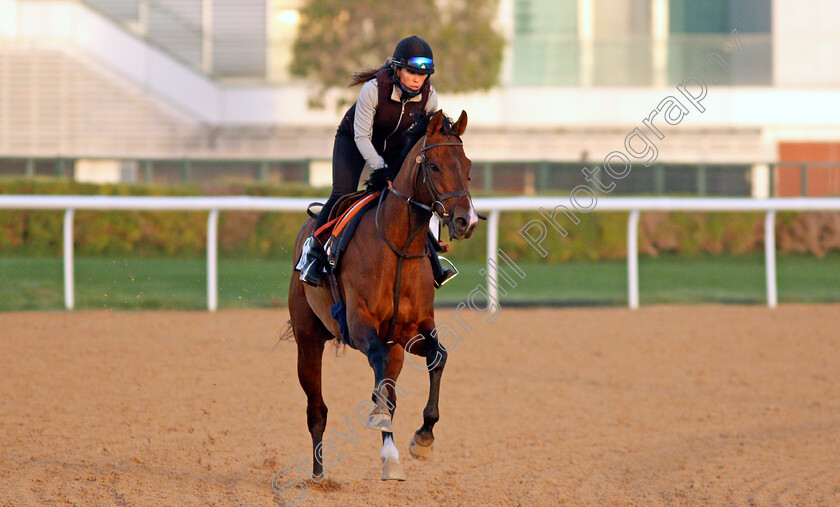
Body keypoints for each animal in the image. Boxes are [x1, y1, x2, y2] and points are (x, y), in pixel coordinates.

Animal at [288, 109, 476, 482]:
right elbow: (378, 375)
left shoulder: (412, 332)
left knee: (387, 389)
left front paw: (423, 439)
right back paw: (318, 474)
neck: (399, 249)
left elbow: (439, 358)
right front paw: (382, 422)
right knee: (317, 408)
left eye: (467, 166)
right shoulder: (359, 324)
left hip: (396, 351)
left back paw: (390, 457)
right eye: (434, 166)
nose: (467, 220)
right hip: (308, 338)